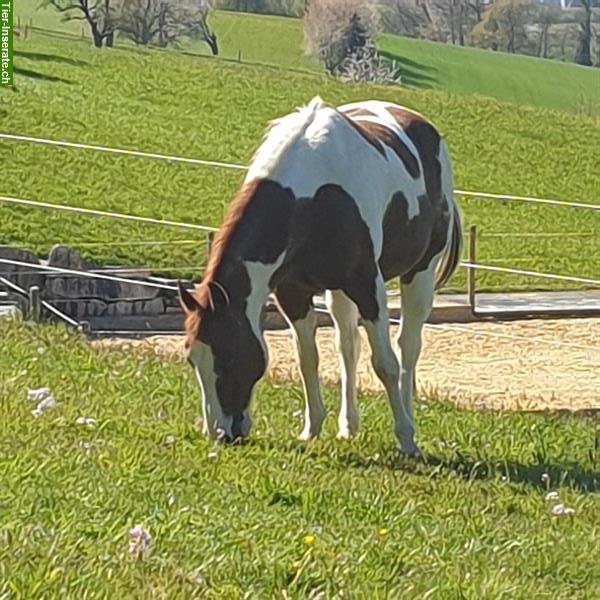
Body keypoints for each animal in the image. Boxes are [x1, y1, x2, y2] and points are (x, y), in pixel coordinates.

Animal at [176, 97, 462, 454]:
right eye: (191, 358)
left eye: (227, 356)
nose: (221, 434)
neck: (312, 197)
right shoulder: (293, 293)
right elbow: (307, 358)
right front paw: (311, 428)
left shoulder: (368, 287)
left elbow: (385, 364)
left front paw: (406, 437)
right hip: (337, 292)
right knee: (348, 347)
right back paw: (348, 425)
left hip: (419, 273)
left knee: (408, 348)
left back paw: (407, 422)